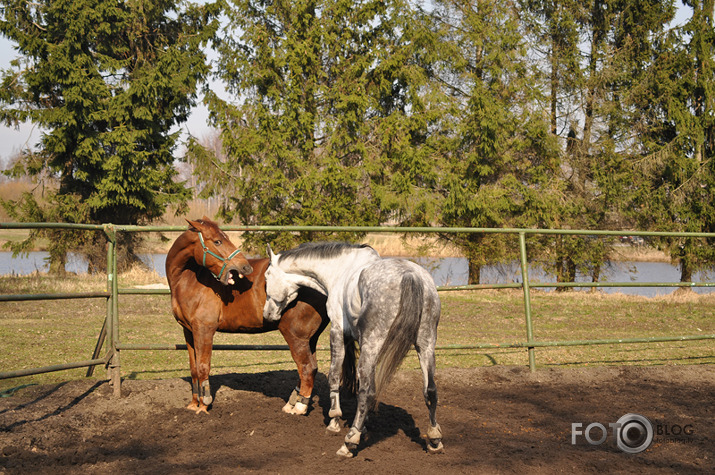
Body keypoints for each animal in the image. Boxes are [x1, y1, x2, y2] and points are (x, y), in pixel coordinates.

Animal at [166, 218, 328, 414]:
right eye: (217, 241)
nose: (245, 267)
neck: (188, 280)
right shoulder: (188, 331)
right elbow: (194, 369)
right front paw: (193, 404)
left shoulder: (204, 330)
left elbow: (203, 367)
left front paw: (204, 405)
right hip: (310, 337)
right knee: (311, 368)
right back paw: (292, 403)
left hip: (295, 335)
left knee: (306, 368)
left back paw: (299, 407)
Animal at [262, 242, 442, 458]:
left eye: (266, 278)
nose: (267, 313)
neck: (340, 270)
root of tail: (411, 275)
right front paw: (362, 425)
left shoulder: (338, 333)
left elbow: (334, 377)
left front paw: (334, 421)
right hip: (426, 344)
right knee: (430, 390)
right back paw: (434, 439)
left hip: (373, 344)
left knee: (368, 392)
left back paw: (350, 442)